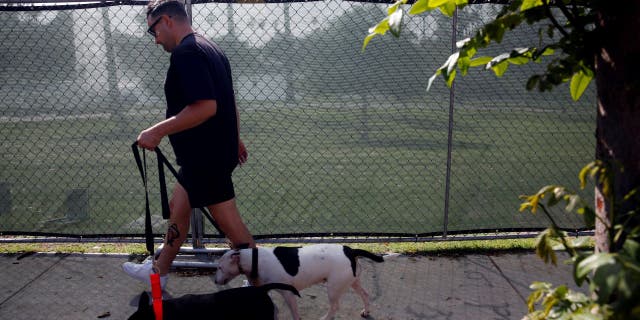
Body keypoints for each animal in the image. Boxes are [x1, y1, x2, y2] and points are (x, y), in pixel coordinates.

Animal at [215, 244, 384, 318]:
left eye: (219, 267)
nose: (215, 281)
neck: (254, 259)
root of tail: (351, 250)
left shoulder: (289, 294)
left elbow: (295, 314)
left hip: (333, 288)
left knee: (335, 307)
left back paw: (324, 318)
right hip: (352, 281)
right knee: (365, 295)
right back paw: (366, 311)